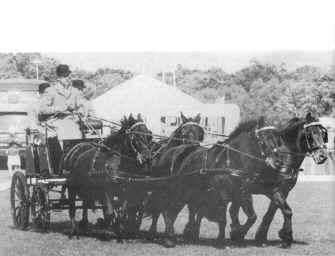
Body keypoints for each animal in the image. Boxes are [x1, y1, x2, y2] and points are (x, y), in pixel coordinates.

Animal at [146, 117, 284, 247]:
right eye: (264, 139)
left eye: (277, 140)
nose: (279, 162)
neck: (233, 161)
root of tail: (169, 151)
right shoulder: (222, 194)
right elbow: (223, 218)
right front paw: (223, 239)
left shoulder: (243, 194)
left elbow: (251, 217)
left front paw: (237, 233)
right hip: (171, 190)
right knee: (162, 209)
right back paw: (163, 236)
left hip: (186, 192)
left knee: (172, 211)